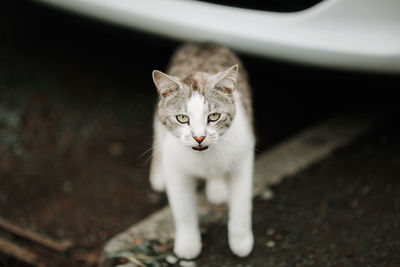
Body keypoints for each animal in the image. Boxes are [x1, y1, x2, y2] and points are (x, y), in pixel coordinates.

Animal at [150, 43, 253, 260]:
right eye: (182, 118)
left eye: (214, 116)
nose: (199, 137)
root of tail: (205, 42)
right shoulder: (176, 169)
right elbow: (183, 210)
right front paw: (188, 246)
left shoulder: (243, 157)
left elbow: (241, 206)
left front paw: (241, 242)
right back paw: (158, 176)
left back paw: (218, 188)